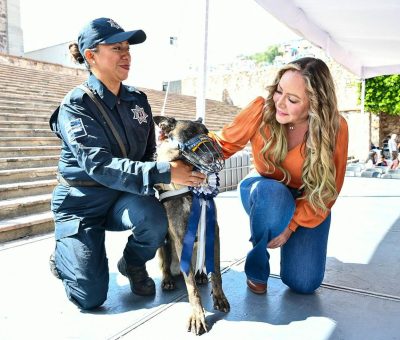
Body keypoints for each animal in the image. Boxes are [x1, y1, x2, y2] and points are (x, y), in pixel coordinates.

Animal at [153, 116, 230, 334]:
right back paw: (168, 279)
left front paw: (219, 297)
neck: (189, 190)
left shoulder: (214, 232)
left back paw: (201, 275)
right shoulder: (181, 239)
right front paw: (198, 315)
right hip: (163, 245)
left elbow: (217, 272)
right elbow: (191, 287)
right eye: (188, 133)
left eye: (206, 131)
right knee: (166, 266)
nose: (216, 154)